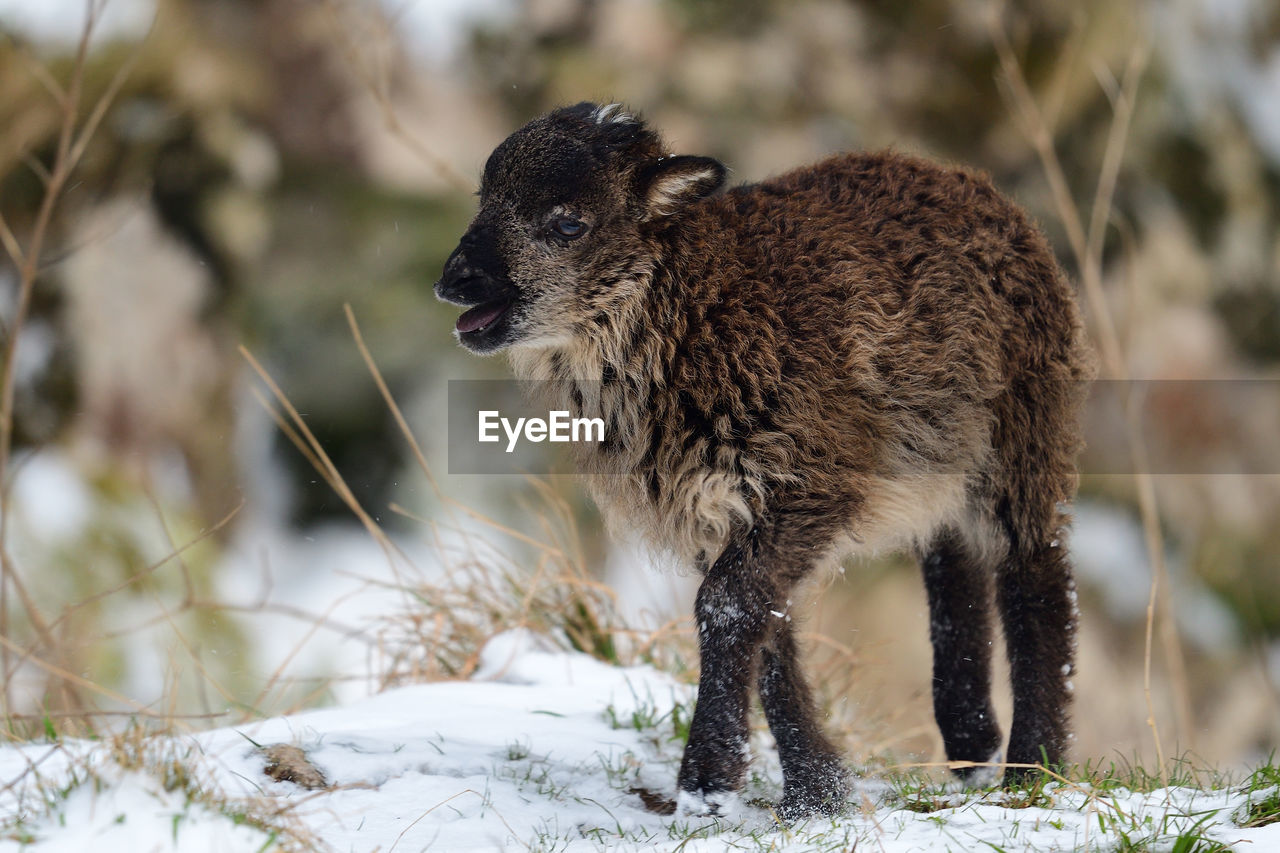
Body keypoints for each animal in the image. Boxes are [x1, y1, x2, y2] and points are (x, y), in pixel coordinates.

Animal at [432, 99, 1090, 819]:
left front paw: (708, 782)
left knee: (1036, 576)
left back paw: (1033, 770)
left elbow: (727, 605)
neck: (696, 311)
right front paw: (816, 792)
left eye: (568, 223)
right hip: (937, 451)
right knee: (952, 559)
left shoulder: (812, 480)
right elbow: (765, 623)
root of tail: (970, 183)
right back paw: (972, 742)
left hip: (1024, 427)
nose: (454, 281)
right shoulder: (708, 505)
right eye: (485, 199)